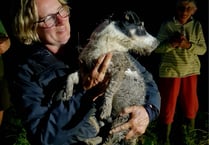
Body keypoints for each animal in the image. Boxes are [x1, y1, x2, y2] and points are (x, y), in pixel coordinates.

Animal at [63, 10, 158, 144]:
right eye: (141, 26)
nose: (158, 42)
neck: (110, 39)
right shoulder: (86, 71)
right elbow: (70, 76)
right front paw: (67, 93)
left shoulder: (118, 71)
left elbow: (109, 89)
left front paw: (106, 109)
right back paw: (91, 140)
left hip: (121, 122)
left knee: (110, 139)